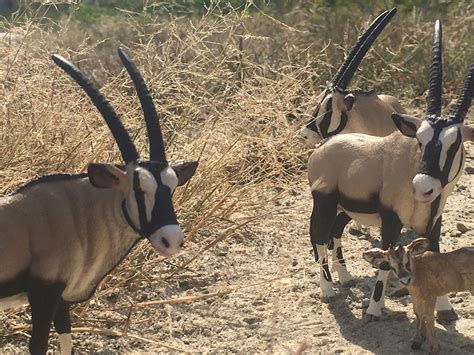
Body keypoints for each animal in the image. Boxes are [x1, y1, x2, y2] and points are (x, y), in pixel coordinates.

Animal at [0, 49, 198, 355]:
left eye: (173, 186)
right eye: (138, 188)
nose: (172, 240)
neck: (77, 212)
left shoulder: (61, 299)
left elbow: (66, 338)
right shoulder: (44, 294)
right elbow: (39, 345)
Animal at [310, 20, 472, 324]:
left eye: (454, 143)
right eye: (420, 140)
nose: (423, 187)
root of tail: (321, 150)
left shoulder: (434, 224)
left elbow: (435, 255)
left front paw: (446, 309)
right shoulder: (390, 221)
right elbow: (385, 262)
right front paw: (374, 310)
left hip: (345, 209)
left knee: (334, 233)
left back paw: (345, 277)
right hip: (324, 204)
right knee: (318, 238)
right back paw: (328, 290)